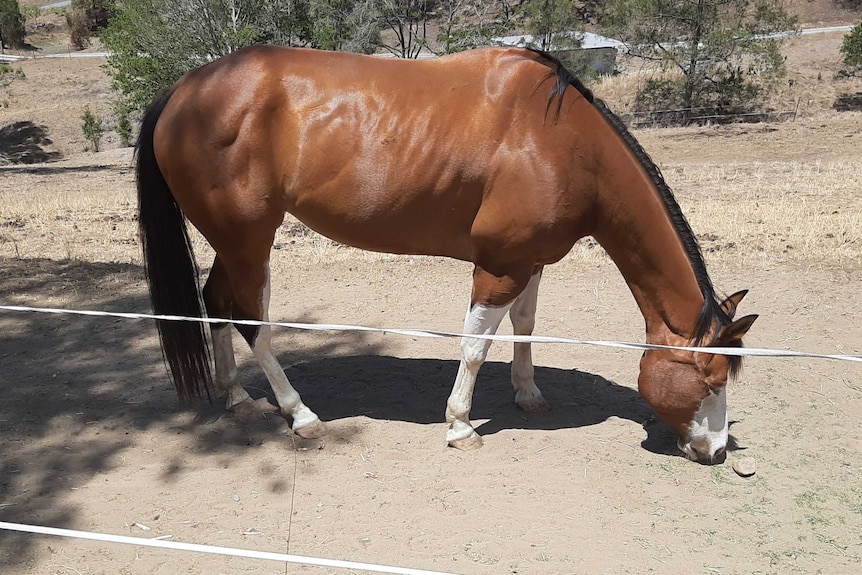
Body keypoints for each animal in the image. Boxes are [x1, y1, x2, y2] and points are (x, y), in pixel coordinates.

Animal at [135, 47, 756, 466]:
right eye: (710, 380)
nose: (717, 452)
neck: (562, 141)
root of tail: (183, 90)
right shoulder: (499, 266)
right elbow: (476, 344)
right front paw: (460, 425)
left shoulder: (529, 262)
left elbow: (524, 326)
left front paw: (528, 393)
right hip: (248, 239)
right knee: (250, 320)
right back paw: (299, 413)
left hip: (231, 241)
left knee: (215, 303)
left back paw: (237, 397)